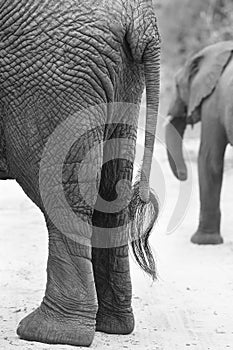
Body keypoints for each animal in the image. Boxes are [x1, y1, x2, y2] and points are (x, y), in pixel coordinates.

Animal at [0, 0, 160, 348]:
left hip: (50, 77)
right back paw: (111, 325)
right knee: (113, 192)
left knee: (62, 198)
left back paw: (51, 333)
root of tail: (140, 14)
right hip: (120, 81)